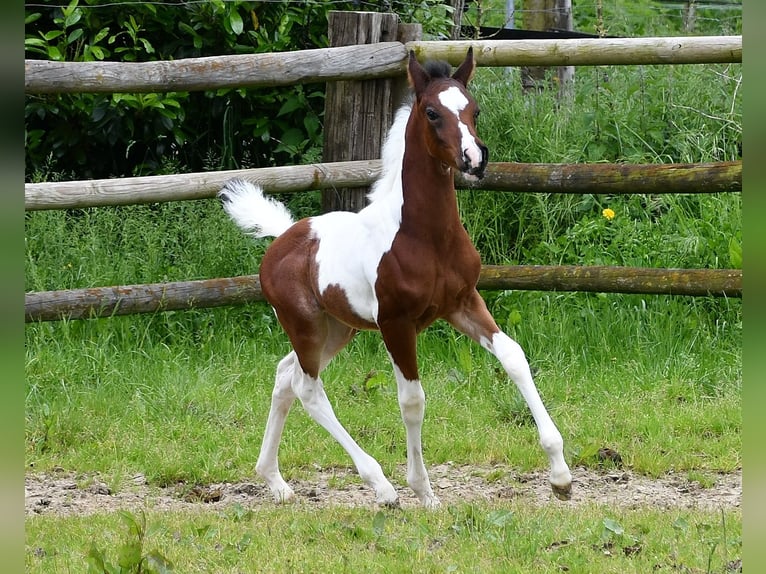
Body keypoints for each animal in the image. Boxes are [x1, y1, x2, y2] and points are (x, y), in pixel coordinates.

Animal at [219, 48, 572, 508]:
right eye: (432, 112)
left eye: (475, 109)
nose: (475, 159)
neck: (425, 237)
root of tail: (283, 238)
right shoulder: (396, 323)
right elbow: (412, 400)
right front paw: (422, 490)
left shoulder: (463, 302)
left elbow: (514, 356)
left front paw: (561, 476)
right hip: (306, 326)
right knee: (308, 389)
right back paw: (381, 486)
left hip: (337, 329)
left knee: (285, 376)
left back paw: (275, 481)